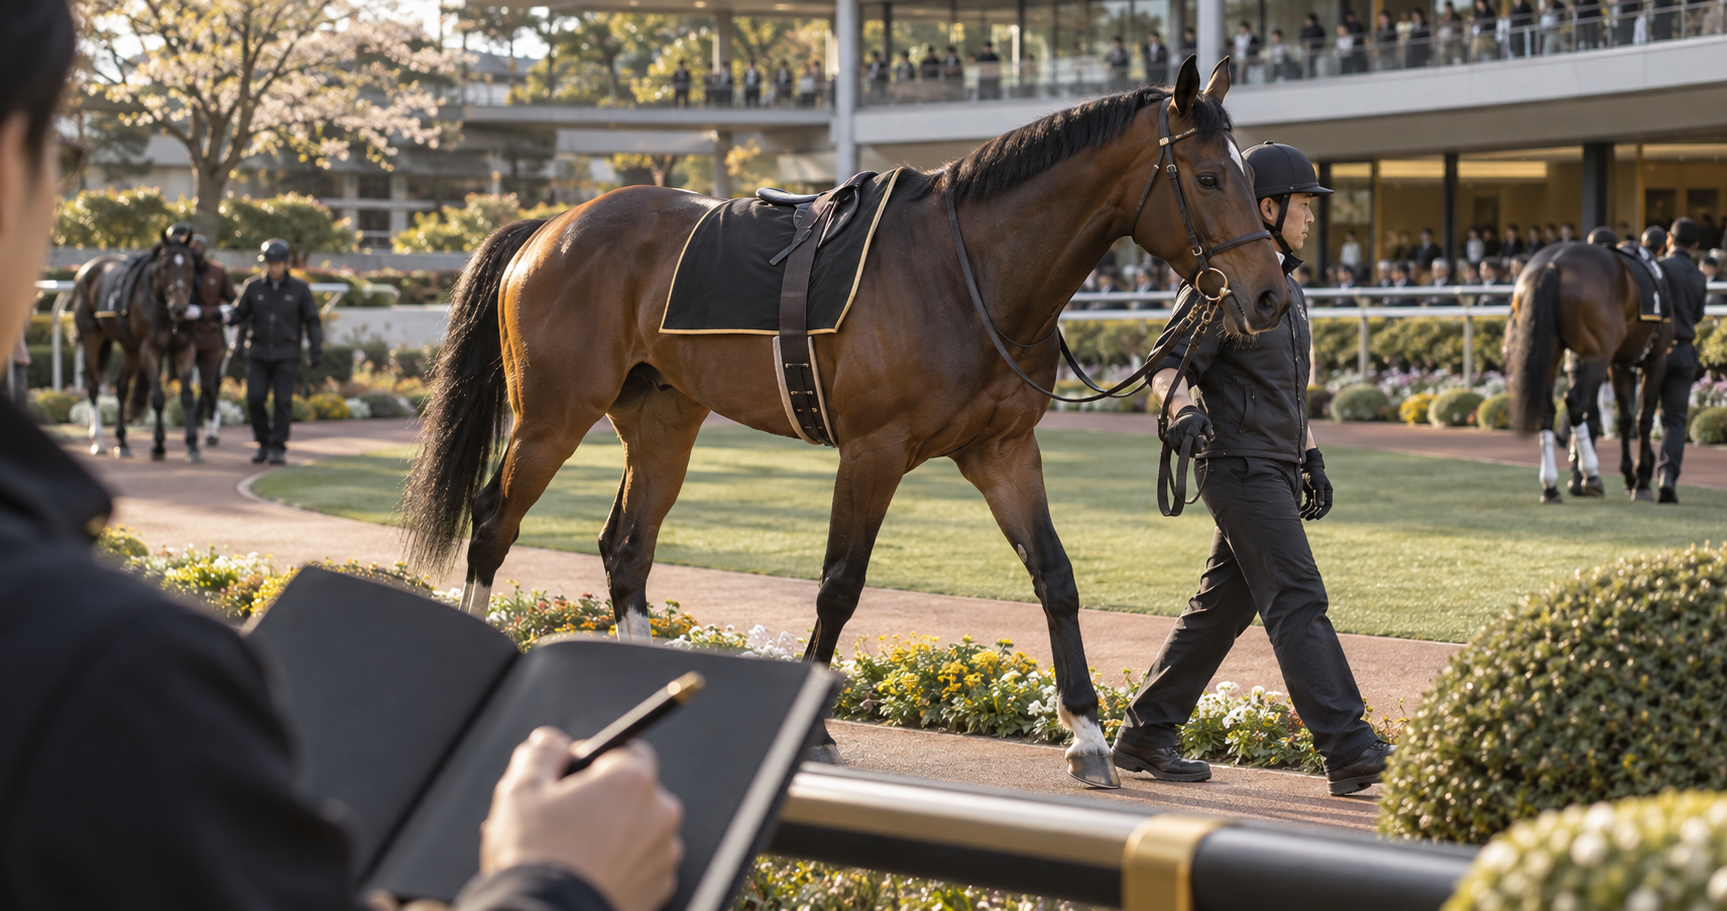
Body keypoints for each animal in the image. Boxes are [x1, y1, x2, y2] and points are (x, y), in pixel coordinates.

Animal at [70, 241, 204, 461]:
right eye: (165, 265)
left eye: (191, 266)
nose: (180, 307)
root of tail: (85, 270)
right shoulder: (149, 349)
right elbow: (157, 397)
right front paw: (158, 445)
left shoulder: (185, 349)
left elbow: (186, 396)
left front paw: (192, 446)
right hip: (92, 339)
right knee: (93, 386)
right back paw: (98, 441)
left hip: (130, 349)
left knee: (121, 387)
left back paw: (122, 442)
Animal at [402, 57, 1289, 788]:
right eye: (1209, 176)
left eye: (1249, 177)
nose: (1270, 293)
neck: (964, 269)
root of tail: (553, 226)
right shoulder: (872, 451)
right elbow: (839, 584)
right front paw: (817, 728)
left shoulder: (1002, 450)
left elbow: (1055, 577)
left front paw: (1087, 736)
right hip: (552, 417)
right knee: (493, 522)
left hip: (662, 422)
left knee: (627, 547)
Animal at [1506, 241, 1674, 503]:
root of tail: (1553, 264)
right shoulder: (1656, 360)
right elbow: (1643, 419)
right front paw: (1642, 481)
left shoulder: (1619, 364)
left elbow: (1624, 419)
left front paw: (1630, 476)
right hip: (1597, 355)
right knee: (1575, 401)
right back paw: (1591, 475)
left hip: (1548, 350)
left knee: (1548, 409)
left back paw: (1551, 486)